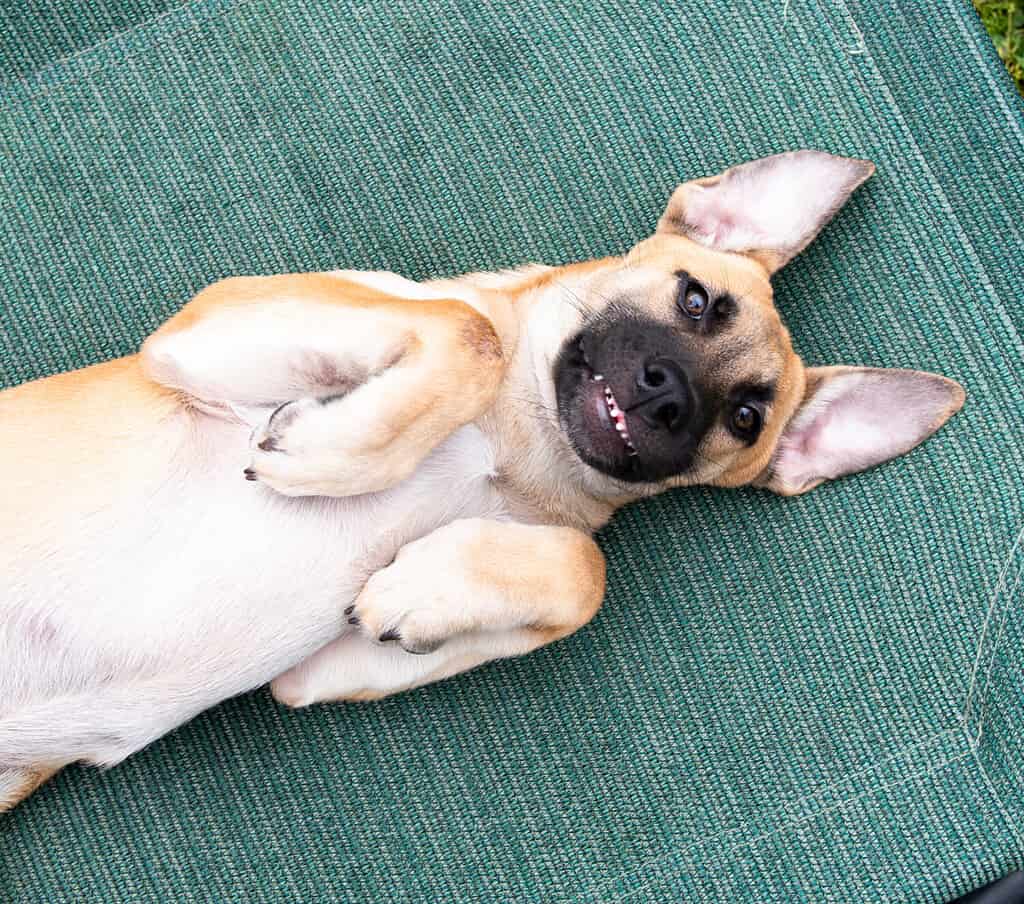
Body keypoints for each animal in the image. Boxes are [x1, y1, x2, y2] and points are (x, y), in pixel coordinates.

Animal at [0, 151, 962, 810]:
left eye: (748, 418)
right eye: (695, 302)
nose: (670, 397)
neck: (519, 446)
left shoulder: (310, 678)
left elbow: (583, 571)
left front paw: (421, 589)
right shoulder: (202, 335)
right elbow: (470, 332)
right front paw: (317, 449)